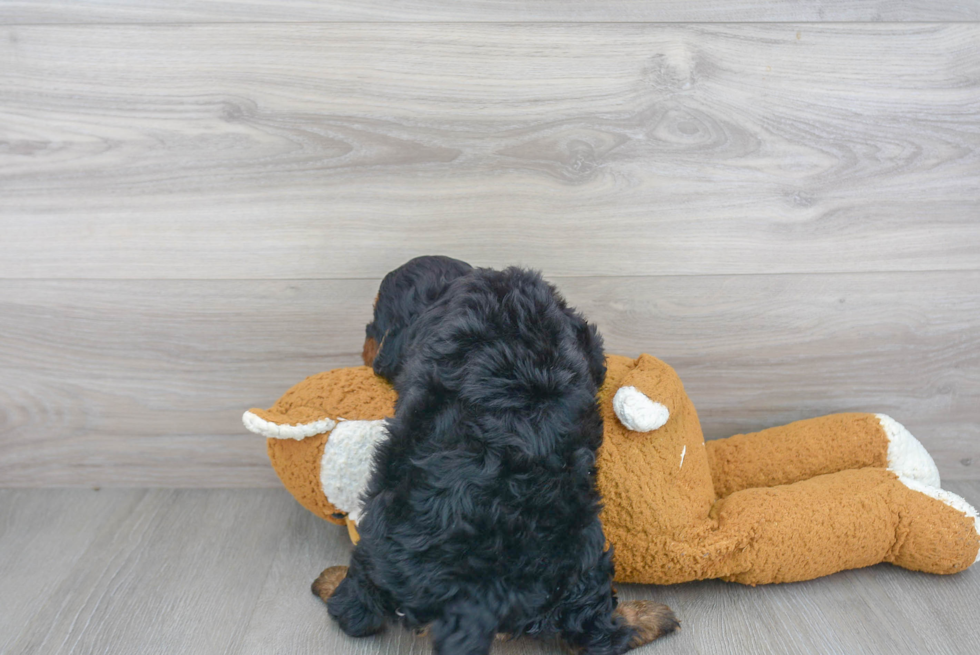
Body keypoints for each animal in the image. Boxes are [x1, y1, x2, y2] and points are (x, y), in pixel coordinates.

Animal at [318, 258, 676, 655]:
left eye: (371, 324)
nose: (366, 353)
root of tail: (471, 601)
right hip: (582, 548)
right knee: (596, 630)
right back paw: (649, 616)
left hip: (379, 534)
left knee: (356, 607)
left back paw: (330, 582)